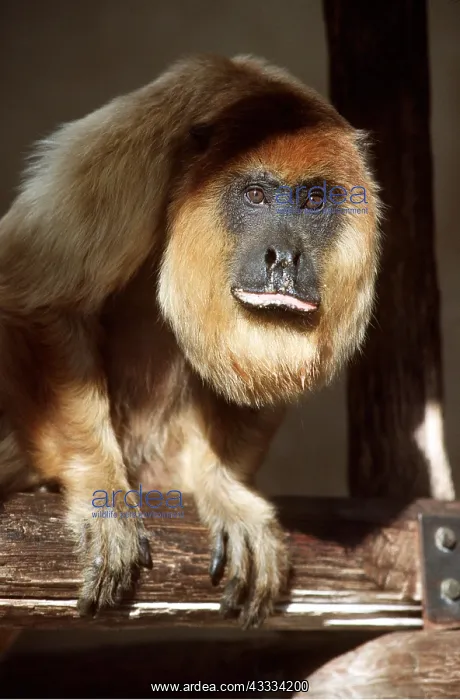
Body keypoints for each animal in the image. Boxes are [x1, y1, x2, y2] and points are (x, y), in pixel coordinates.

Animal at [0, 54, 381, 628]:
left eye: (314, 200)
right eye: (255, 195)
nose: (284, 258)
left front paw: (220, 487)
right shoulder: (136, 145)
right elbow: (43, 299)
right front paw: (100, 493)